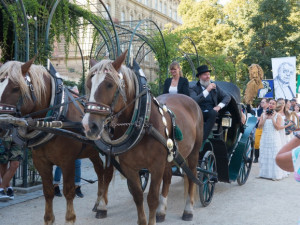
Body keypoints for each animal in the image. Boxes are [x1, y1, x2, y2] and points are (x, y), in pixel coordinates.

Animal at [0, 60, 113, 225]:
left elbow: (69, 191)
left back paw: (103, 207)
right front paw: (49, 219)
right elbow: (48, 192)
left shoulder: (67, 161)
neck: (53, 120)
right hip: (92, 151)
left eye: (15, 88)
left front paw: (70, 219)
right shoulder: (41, 162)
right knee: (100, 170)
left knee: (108, 174)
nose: (1, 124)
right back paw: (98, 203)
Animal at [82, 51, 204, 225]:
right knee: (168, 178)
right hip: (170, 155)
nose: (88, 125)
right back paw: (162, 211)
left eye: (109, 85)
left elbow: (152, 198)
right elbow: (138, 196)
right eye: (89, 84)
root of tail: (190, 100)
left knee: (191, 176)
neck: (143, 122)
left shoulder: (156, 165)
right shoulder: (130, 167)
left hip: (193, 153)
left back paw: (188, 210)